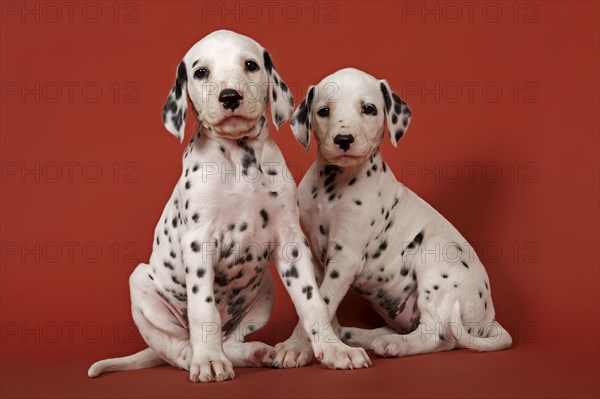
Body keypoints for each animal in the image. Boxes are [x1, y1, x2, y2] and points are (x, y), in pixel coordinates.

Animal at [88, 32, 370, 384]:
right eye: (200, 72)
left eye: (250, 65)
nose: (229, 96)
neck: (239, 158)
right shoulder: (198, 241)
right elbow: (203, 308)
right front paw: (209, 361)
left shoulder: (291, 242)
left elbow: (312, 301)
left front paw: (334, 350)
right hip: (141, 284)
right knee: (181, 351)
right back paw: (207, 356)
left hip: (264, 290)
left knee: (231, 341)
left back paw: (254, 352)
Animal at [272, 68, 510, 366]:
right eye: (324, 111)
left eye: (368, 109)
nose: (343, 139)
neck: (332, 185)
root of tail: (489, 318)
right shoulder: (315, 254)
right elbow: (314, 301)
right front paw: (319, 339)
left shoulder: (346, 257)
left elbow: (322, 302)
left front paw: (298, 346)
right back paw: (357, 335)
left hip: (436, 262)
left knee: (438, 336)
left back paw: (393, 344)